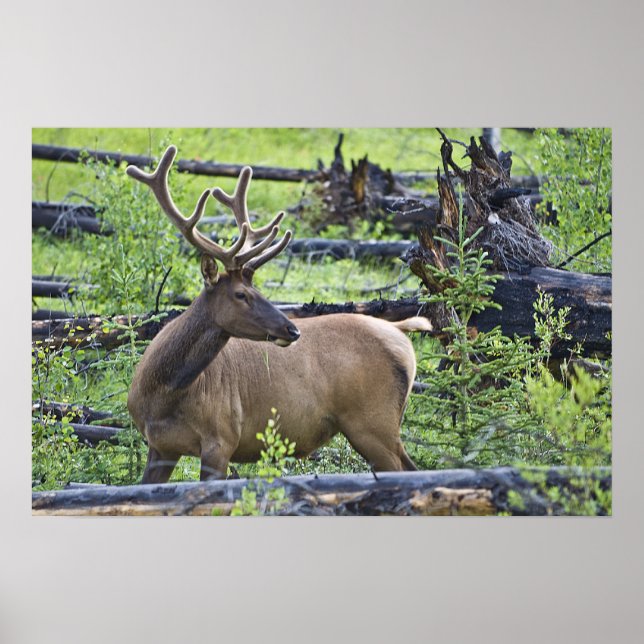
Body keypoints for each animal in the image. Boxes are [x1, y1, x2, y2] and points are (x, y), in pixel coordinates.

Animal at [126, 145, 431, 483]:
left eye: (257, 290)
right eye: (242, 294)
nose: (292, 330)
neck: (164, 393)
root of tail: (401, 333)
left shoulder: (221, 438)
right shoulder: (161, 446)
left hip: (372, 421)